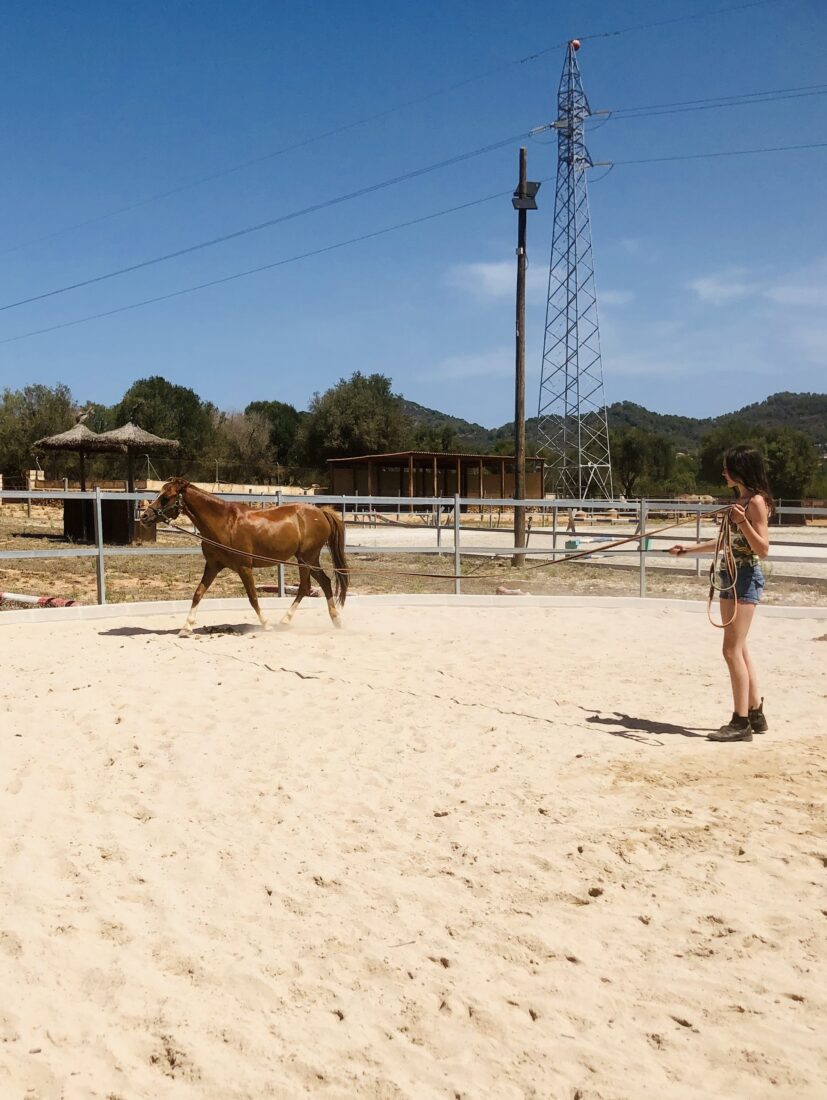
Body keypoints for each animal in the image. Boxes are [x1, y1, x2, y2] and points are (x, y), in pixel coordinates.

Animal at [141, 479, 349, 638]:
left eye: (166, 497)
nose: (144, 516)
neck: (225, 523)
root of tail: (321, 512)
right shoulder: (213, 566)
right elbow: (198, 593)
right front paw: (186, 627)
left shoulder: (244, 567)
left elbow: (253, 597)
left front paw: (266, 625)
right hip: (309, 560)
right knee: (325, 582)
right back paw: (336, 620)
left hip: (306, 558)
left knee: (305, 587)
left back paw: (284, 621)